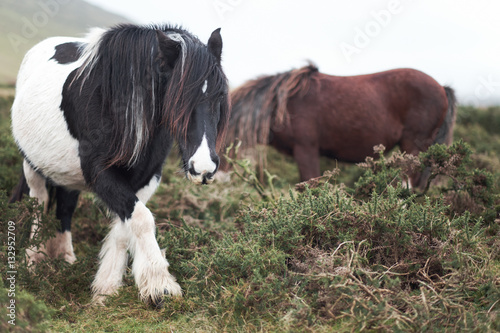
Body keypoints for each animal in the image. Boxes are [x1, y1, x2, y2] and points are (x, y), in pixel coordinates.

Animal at [10, 24, 229, 306]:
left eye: (220, 95)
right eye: (176, 99)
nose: (203, 168)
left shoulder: (148, 176)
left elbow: (127, 225)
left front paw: (106, 288)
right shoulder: (100, 173)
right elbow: (142, 219)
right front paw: (160, 286)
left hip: (66, 174)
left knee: (65, 209)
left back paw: (66, 260)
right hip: (32, 166)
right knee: (39, 204)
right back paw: (33, 262)